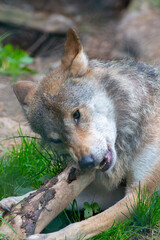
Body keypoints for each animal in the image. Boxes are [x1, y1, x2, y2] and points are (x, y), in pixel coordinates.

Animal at [0, 29, 160, 239]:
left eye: (76, 114)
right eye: (56, 140)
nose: (87, 162)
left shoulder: (142, 197)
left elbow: (79, 226)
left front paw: (46, 237)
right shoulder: (113, 192)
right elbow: (51, 196)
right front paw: (14, 200)